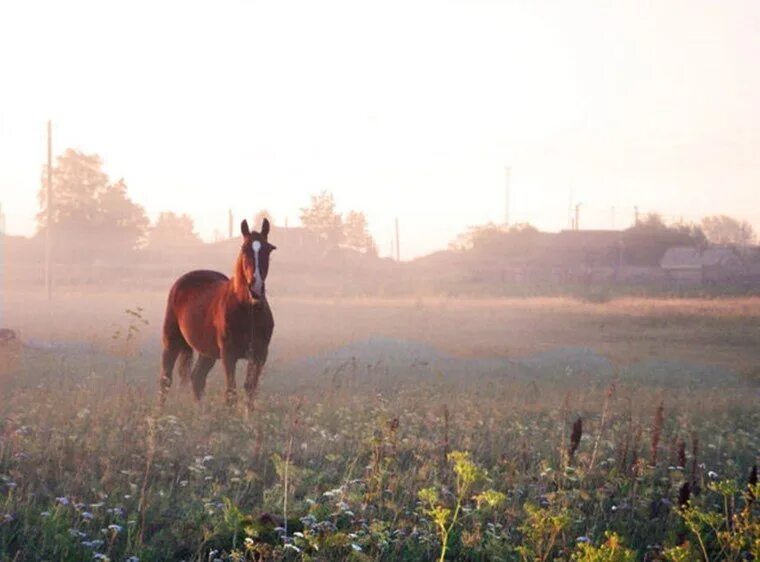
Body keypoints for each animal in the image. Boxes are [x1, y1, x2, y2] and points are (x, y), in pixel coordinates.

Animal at [160, 217, 276, 410]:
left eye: (268, 249)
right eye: (244, 249)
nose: (255, 288)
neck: (248, 312)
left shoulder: (260, 355)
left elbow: (250, 390)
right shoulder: (228, 355)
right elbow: (231, 393)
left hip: (207, 352)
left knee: (197, 378)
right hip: (172, 342)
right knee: (165, 380)